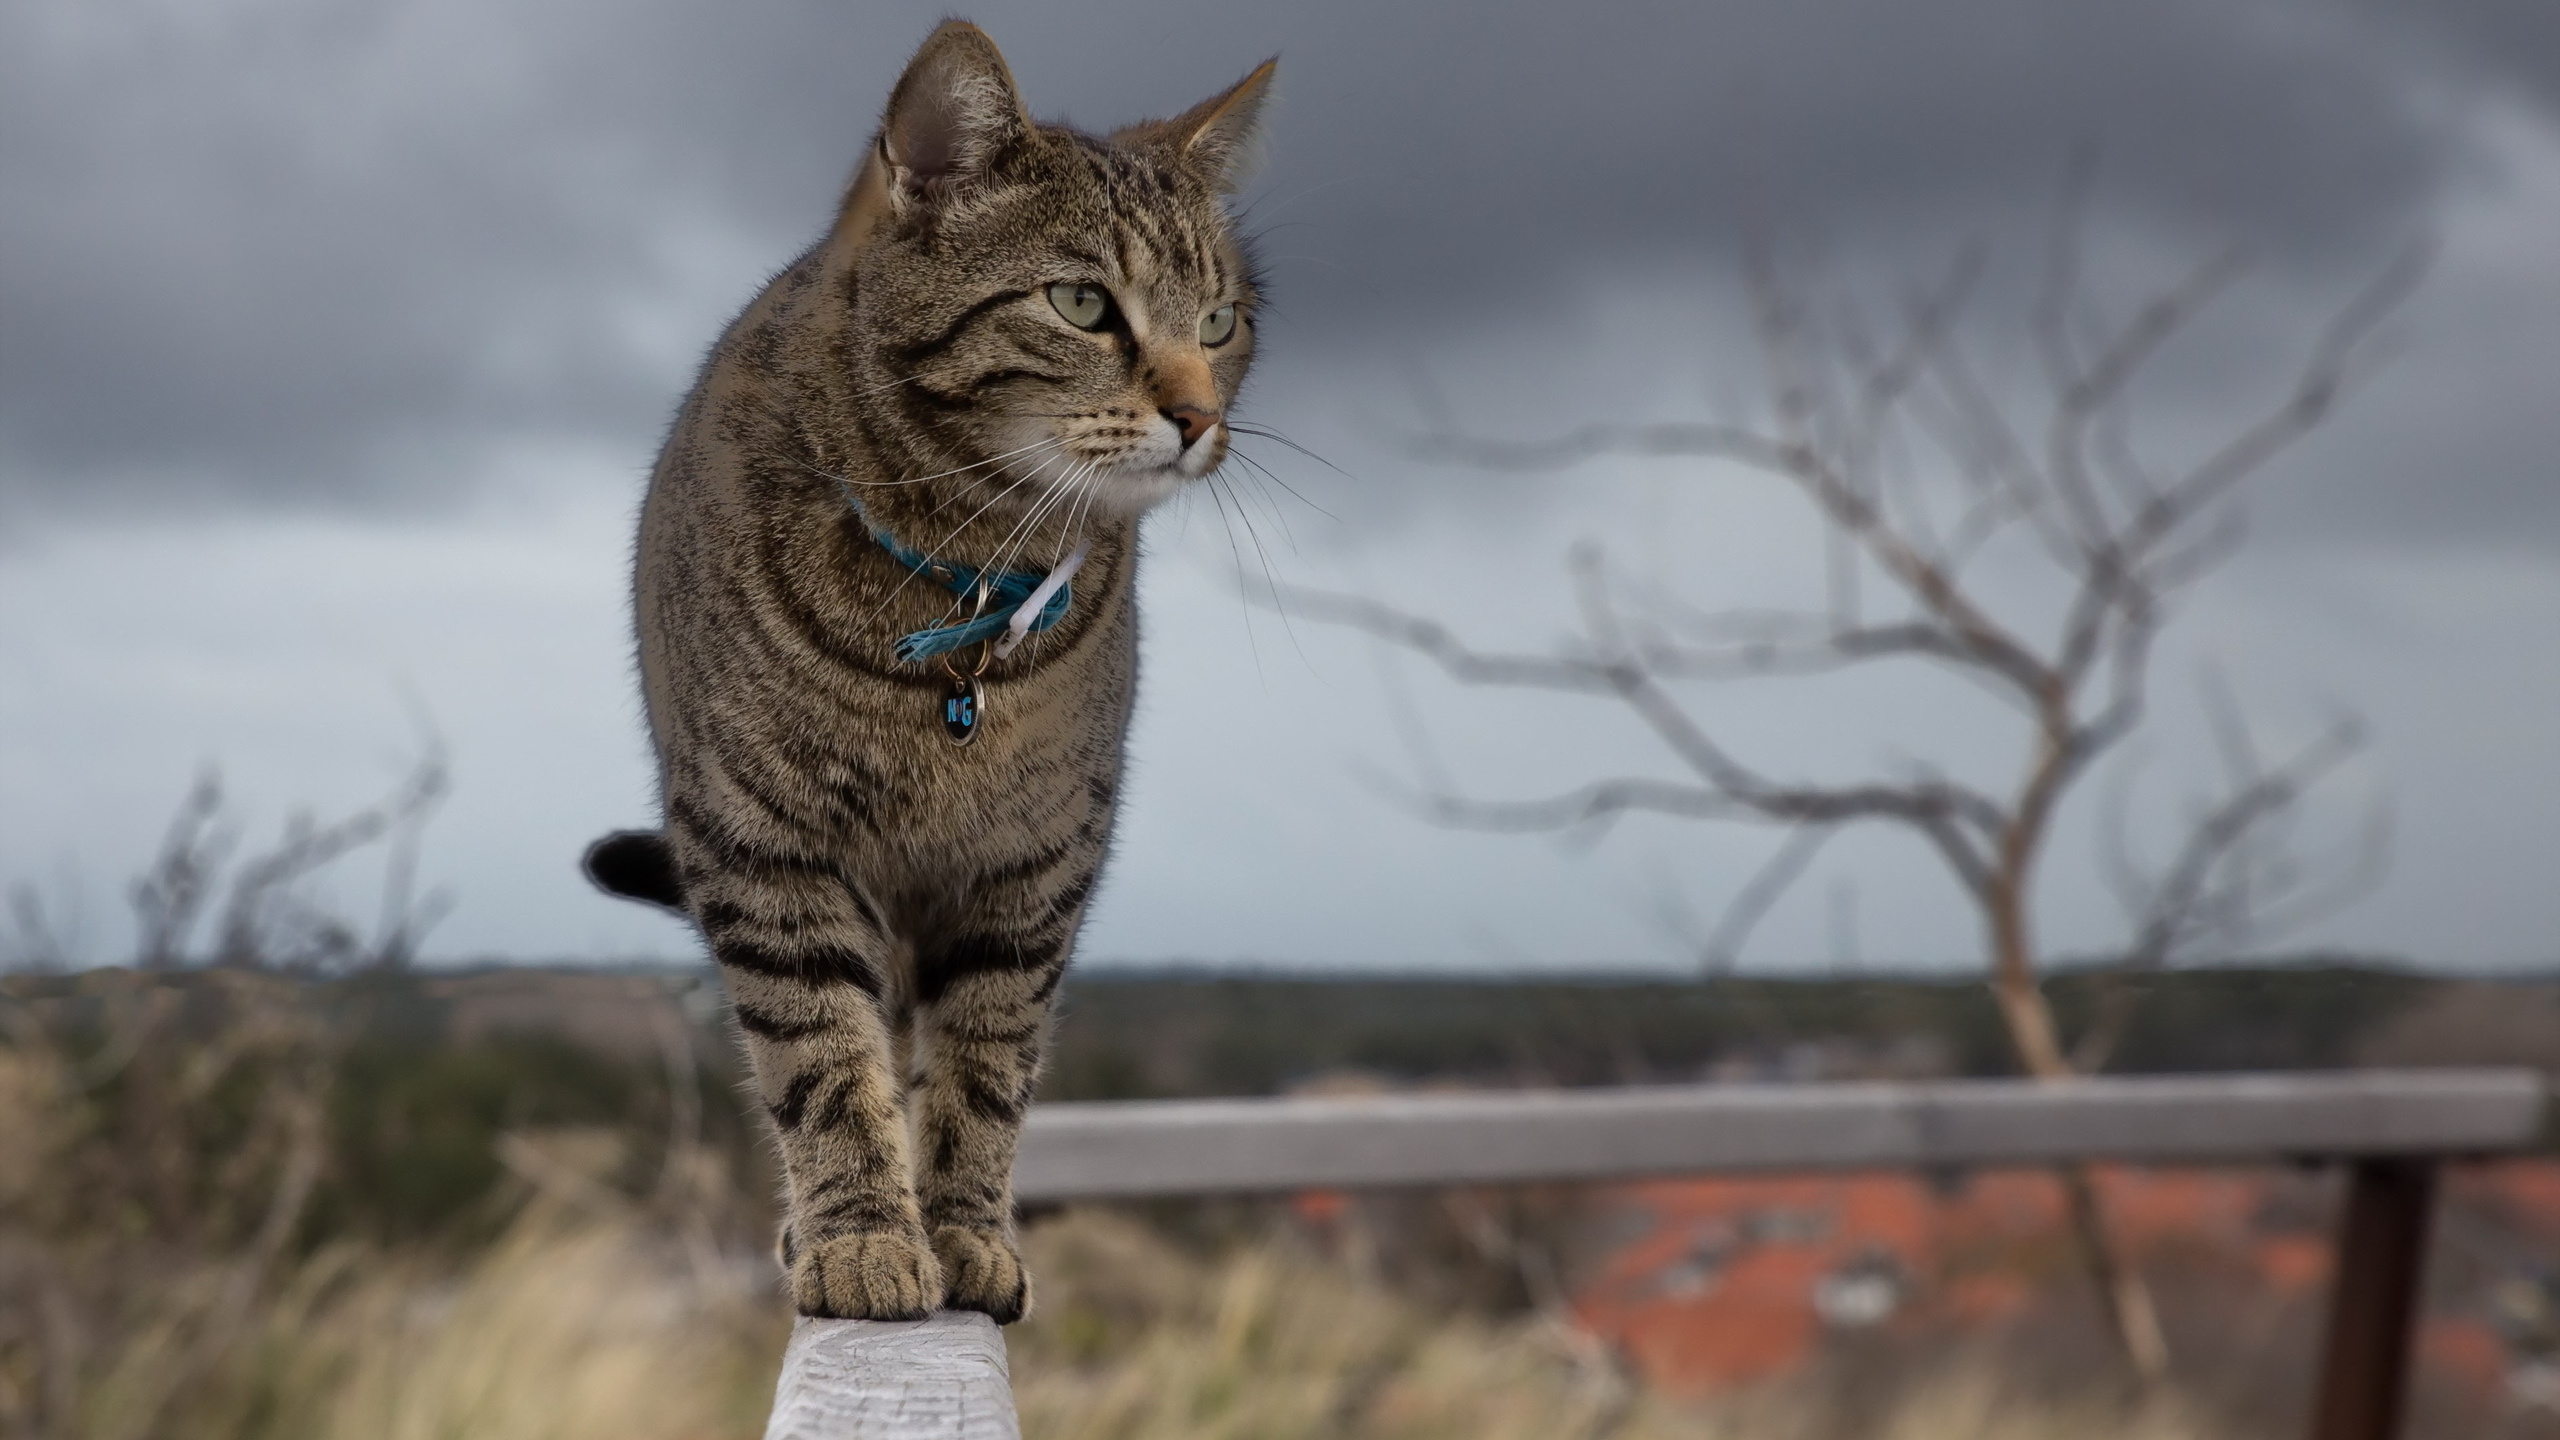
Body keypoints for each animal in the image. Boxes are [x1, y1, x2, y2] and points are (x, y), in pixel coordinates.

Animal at [576, 22, 1264, 1322]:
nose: (1201, 419)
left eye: (1218, 322)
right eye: (1081, 302)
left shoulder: (1030, 872)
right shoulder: (764, 849)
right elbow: (822, 1063)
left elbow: (984, 1071)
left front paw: (963, 1236)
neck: (962, 584)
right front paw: (860, 1238)